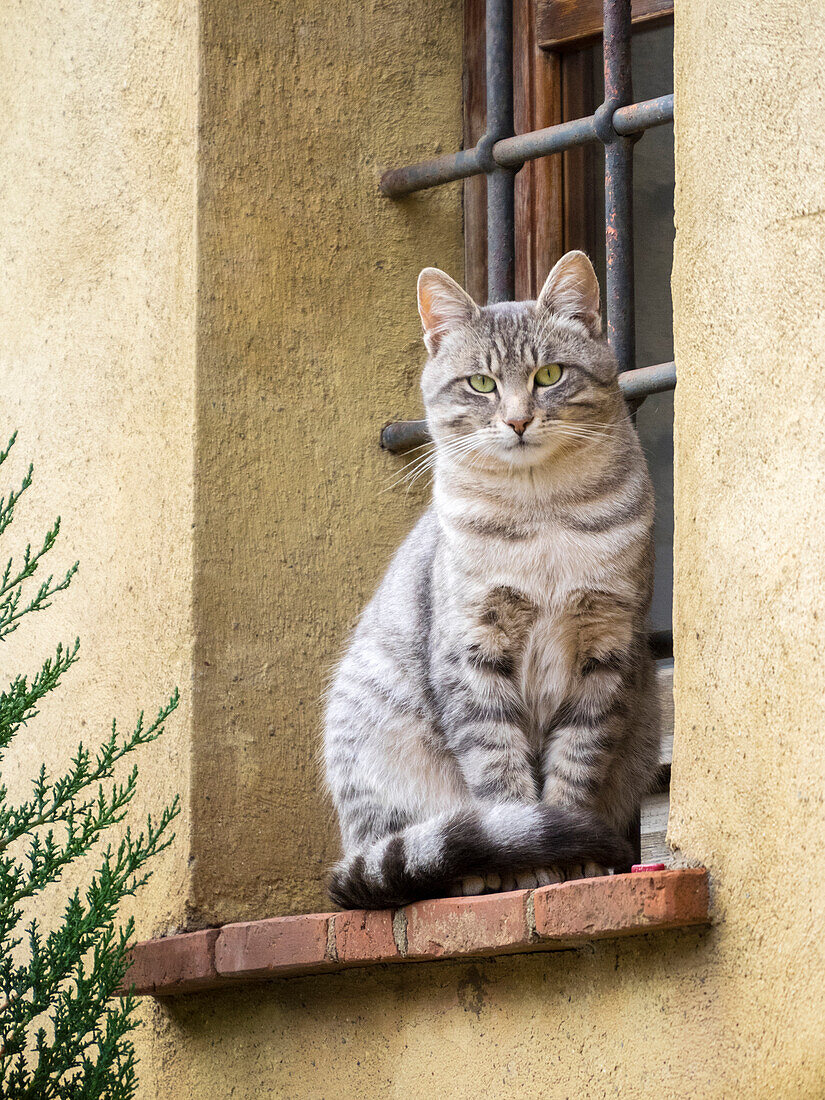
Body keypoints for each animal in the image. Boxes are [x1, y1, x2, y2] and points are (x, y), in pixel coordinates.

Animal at [325, 251, 664, 910]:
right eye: (480, 384)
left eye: (549, 374)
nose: (517, 420)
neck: (544, 516)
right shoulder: (472, 649)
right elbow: (499, 772)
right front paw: (526, 861)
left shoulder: (606, 648)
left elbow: (575, 764)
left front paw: (573, 856)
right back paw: (470, 869)